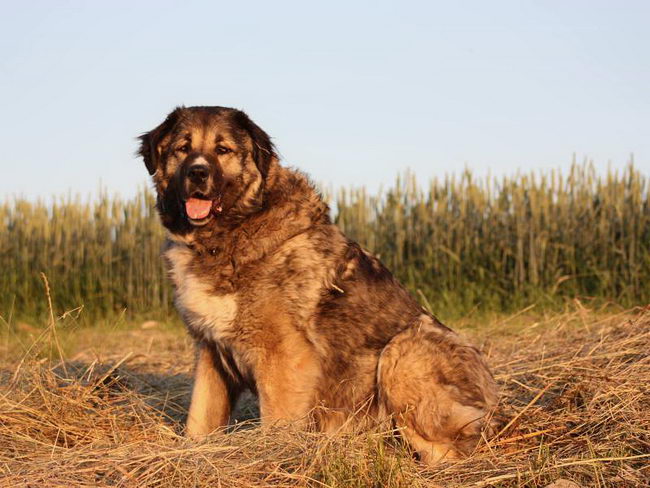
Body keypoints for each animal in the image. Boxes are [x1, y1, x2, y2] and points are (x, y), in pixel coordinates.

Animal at [137, 105, 496, 464]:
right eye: (183, 148)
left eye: (222, 150)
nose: (197, 173)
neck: (227, 234)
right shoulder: (211, 351)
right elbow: (200, 416)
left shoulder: (282, 355)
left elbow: (276, 420)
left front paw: (273, 455)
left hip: (402, 350)